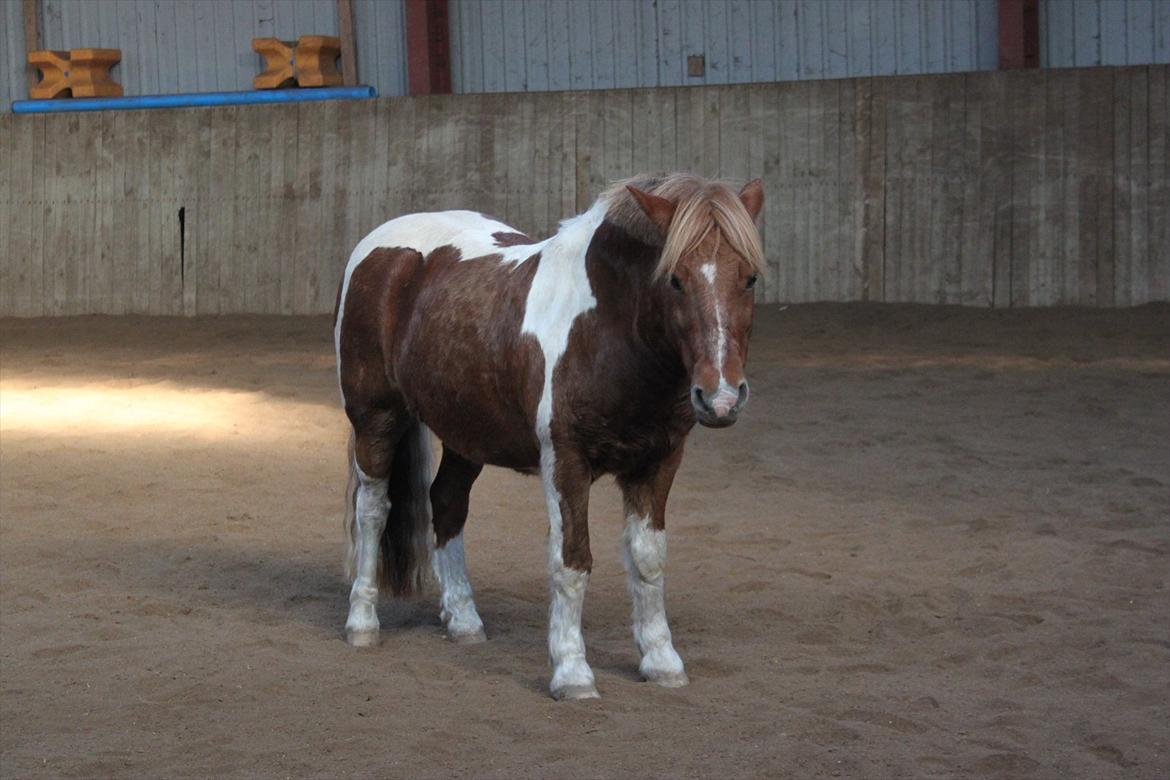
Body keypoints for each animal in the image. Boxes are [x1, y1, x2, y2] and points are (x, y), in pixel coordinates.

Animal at [333, 172, 765, 700]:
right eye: (675, 279)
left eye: (749, 278)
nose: (720, 396)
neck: (609, 330)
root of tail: (378, 247)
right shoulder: (566, 461)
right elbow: (572, 561)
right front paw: (572, 673)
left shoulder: (659, 462)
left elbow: (648, 560)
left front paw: (662, 663)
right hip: (376, 418)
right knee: (373, 510)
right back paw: (362, 623)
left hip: (466, 432)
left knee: (448, 502)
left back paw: (464, 621)